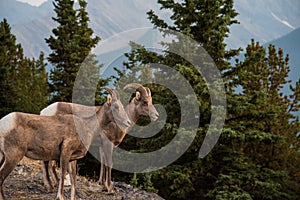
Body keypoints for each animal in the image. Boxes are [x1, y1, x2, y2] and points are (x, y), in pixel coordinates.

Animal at [0, 87, 131, 200]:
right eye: (116, 106)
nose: (128, 122)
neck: (87, 127)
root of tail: (3, 123)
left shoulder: (73, 159)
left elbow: (73, 178)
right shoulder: (65, 151)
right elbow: (63, 174)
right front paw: (60, 197)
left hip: (3, 156)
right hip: (13, 156)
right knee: (1, 176)